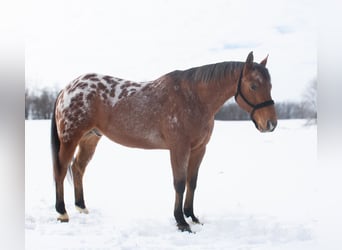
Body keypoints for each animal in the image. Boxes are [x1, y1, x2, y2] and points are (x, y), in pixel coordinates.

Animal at [51, 51, 278, 232]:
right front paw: (181, 222)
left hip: (90, 138)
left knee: (78, 168)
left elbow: (192, 182)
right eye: (253, 85)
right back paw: (62, 213)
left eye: (270, 85)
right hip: (70, 138)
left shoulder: (199, 149)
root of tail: (66, 89)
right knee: (60, 170)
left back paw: (81, 207)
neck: (194, 98)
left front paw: (192, 216)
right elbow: (179, 183)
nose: (271, 124)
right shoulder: (179, 149)